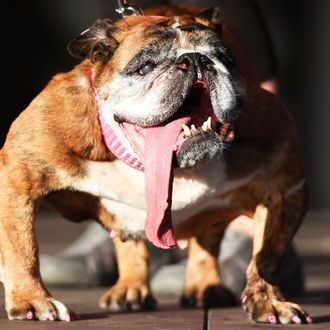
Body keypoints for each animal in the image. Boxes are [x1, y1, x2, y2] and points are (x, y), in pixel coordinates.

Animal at [0, 5, 312, 324]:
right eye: (145, 67)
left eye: (224, 58)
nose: (195, 59)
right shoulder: (20, 176)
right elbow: (22, 248)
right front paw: (32, 300)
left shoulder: (282, 187)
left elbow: (267, 255)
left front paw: (269, 301)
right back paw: (130, 289)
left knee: (208, 239)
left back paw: (204, 286)